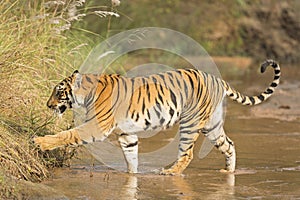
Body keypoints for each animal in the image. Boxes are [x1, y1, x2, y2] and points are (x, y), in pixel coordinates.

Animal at [34, 59, 282, 175]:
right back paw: (228, 171)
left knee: (188, 153)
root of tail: (218, 79)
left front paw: (41, 142)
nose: (47, 104)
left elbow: (68, 134)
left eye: (58, 92)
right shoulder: (126, 133)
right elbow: (131, 156)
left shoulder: (97, 126)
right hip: (212, 126)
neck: (87, 94)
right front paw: (132, 176)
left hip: (191, 123)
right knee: (229, 145)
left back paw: (170, 172)